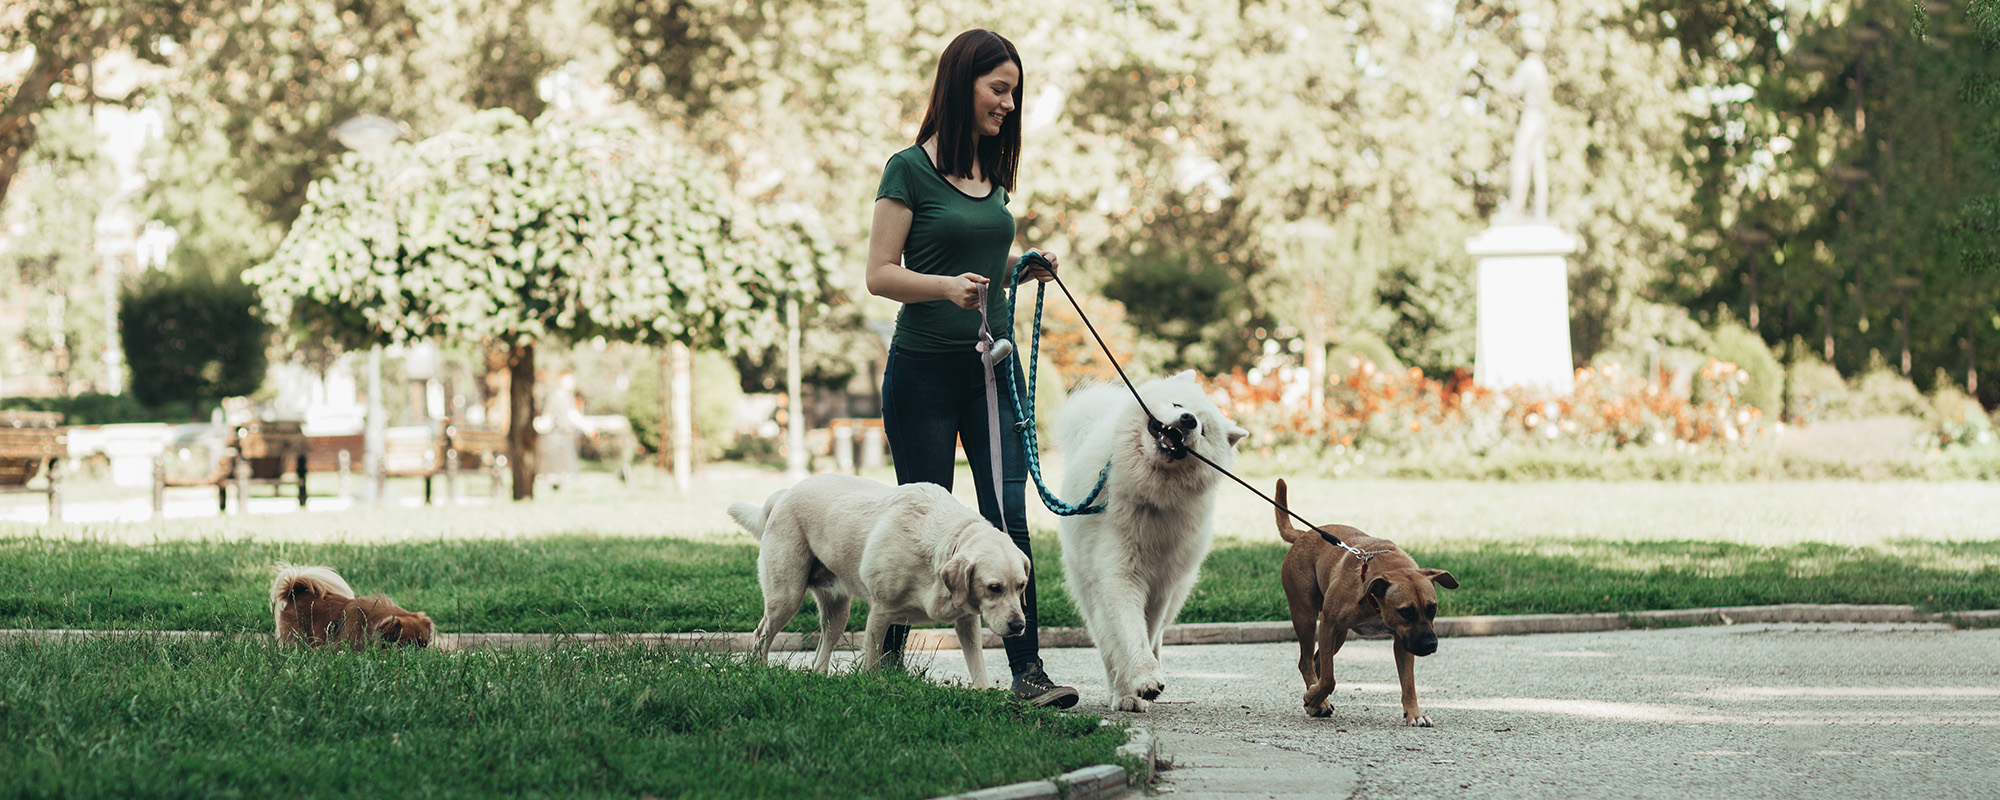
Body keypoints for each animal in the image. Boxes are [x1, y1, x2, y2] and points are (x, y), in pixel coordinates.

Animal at [728, 476, 1032, 688]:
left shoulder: (967, 621)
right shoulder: (881, 612)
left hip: (837, 613)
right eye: (994, 588)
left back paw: (819, 678)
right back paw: (759, 672)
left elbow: (977, 664)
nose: (1019, 626)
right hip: (786, 598)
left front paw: (984, 694)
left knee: (820, 651)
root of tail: (783, 494)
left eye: (1021, 586)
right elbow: (872, 662)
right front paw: (872, 689)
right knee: (760, 635)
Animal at [1056, 370, 1240, 712]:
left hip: (1177, 592)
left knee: (1156, 637)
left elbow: (1146, 632)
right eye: (1178, 404)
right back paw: (1120, 690)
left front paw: (1145, 681)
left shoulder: (1160, 585)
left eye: (1204, 430)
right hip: (1089, 590)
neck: (1150, 493)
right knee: (1106, 642)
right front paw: (1139, 684)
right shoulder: (1118, 575)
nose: (1189, 419)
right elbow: (1129, 633)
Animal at [1272, 482, 1464, 724]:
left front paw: (1414, 713)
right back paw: (1316, 699)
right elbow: (1330, 679)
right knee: (1307, 663)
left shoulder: (1402, 641)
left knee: (1317, 662)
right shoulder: (1328, 623)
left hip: (1339, 635)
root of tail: (1304, 534)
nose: (1430, 644)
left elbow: (1408, 682)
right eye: (1406, 612)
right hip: (1305, 617)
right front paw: (1313, 697)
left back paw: (1316, 698)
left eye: (1433, 608)